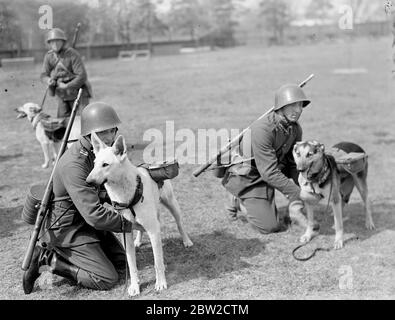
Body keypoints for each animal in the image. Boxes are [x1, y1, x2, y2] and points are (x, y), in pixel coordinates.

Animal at [86, 132, 194, 296]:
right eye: (94, 163)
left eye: (105, 165)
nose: (88, 181)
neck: (125, 193)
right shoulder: (126, 233)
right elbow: (132, 266)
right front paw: (134, 287)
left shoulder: (154, 231)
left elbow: (157, 262)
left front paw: (160, 283)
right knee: (139, 229)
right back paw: (138, 240)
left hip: (172, 204)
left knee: (180, 224)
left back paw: (186, 241)